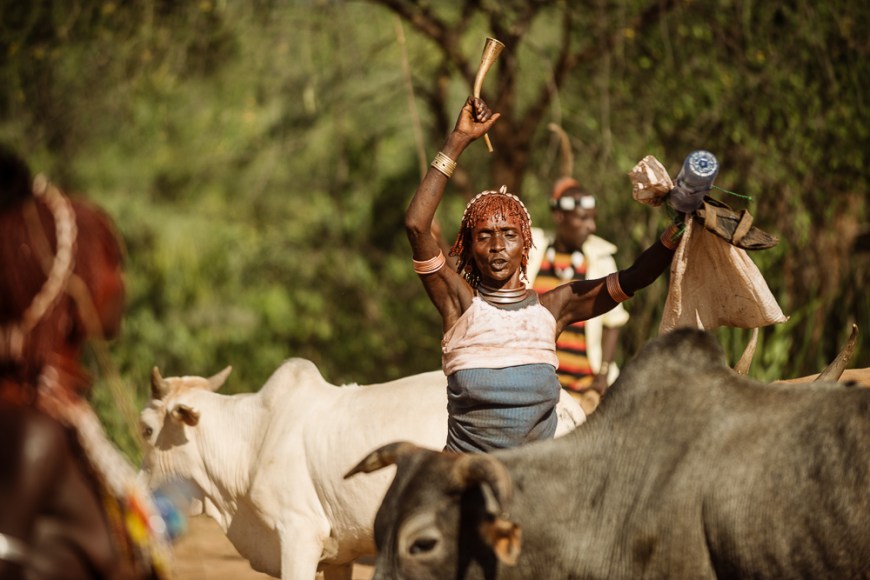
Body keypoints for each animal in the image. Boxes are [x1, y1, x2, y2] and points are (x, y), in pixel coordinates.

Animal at [138, 358, 586, 580]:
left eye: (145, 429)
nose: (139, 489)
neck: (253, 437)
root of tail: (569, 406)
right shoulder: (338, 554)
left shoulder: (298, 534)